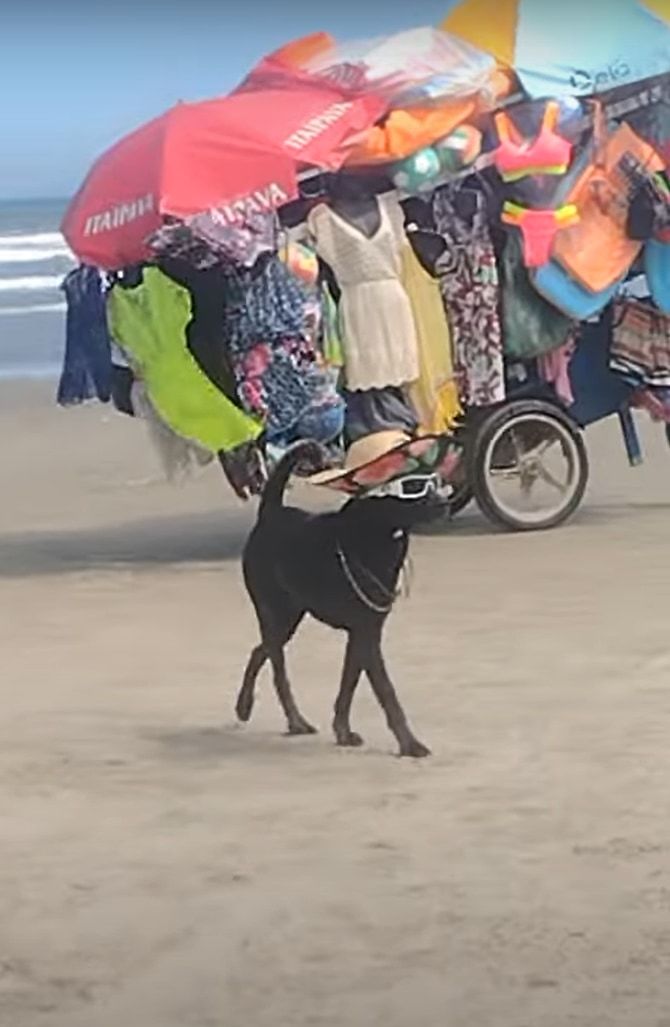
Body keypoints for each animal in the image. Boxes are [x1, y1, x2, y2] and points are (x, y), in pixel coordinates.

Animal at [234, 439, 443, 755]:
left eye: (434, 481)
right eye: (412, 487)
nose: (444, 500)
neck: (377, 534)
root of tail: (271, 512)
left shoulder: (364, 632)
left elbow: (348, 684)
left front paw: (342, 730)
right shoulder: (366, 634)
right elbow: (386, 693)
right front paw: (409, 743)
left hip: (289, 616)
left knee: (260, 651)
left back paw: (245, 706)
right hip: (274, 612)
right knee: (277, 668)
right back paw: (293, 720)